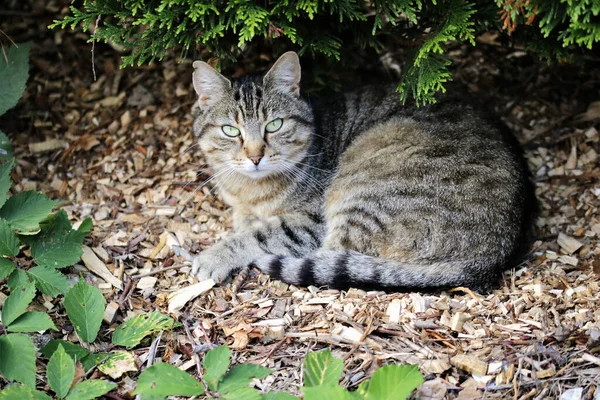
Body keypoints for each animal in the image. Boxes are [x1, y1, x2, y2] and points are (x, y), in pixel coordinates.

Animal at [190, 52, 536, 290]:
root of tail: (490, 258)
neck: (248, 191)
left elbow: (256, 235)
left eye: (274, 125)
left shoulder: (310, 223)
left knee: (331, 258)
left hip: (364, 190)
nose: (255, 156)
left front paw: (213, 256)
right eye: (230, 130)